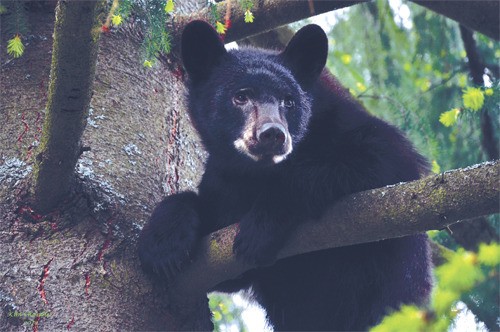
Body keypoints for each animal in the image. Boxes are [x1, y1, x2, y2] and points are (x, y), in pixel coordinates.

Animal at [138, 20, 434, 330]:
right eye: (240, 96)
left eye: (289, 101)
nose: (272, 134)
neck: (256, 172)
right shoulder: (224, 181)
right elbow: (225, 265)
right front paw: (161, 245)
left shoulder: (357, 130)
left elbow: (384, 161)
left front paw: (259, 228)